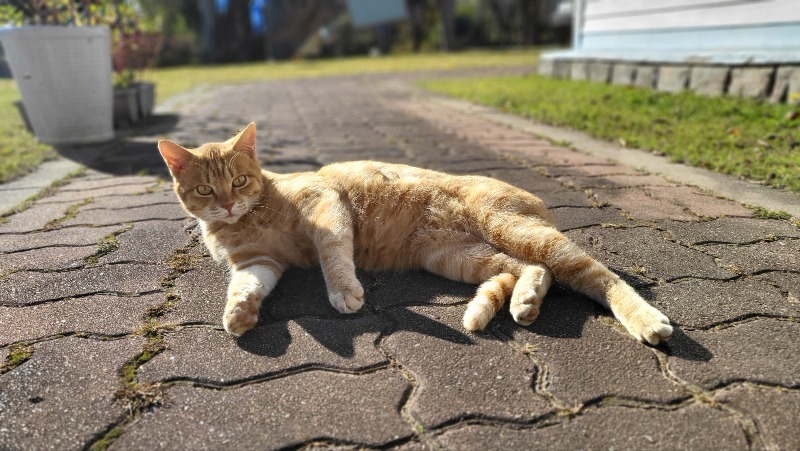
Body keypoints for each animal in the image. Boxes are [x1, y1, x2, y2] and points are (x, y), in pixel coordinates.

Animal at [159, 122, 672, 344]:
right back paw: (520, 302)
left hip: (513, 230)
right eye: (205, 189)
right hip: (456, 255)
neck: (248, 217)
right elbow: (246, 286)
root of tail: (537, 199)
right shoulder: (258, 263)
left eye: (239, 181)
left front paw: (344, 292)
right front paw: (240, 313)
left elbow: (333, 255)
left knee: (598, 276)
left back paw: (647, 321)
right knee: (531, 269)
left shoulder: (323, 205)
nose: (227, 203)